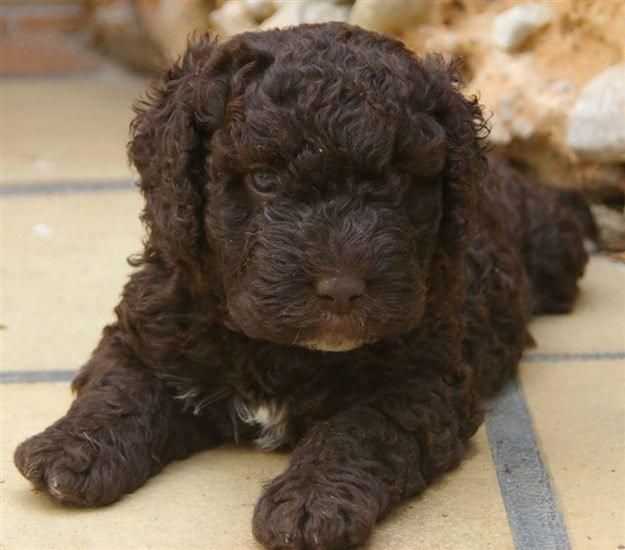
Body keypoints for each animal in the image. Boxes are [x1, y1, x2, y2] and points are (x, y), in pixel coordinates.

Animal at [14, 22, 588, 550]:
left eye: (401, 182)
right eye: (264, 180)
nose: (342, 289)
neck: (278, 350)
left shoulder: (425, 384)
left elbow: (361, 430)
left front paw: (313, 502)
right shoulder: (149, 330)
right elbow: (121, 388)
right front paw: (74, 449)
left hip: (553, 249)